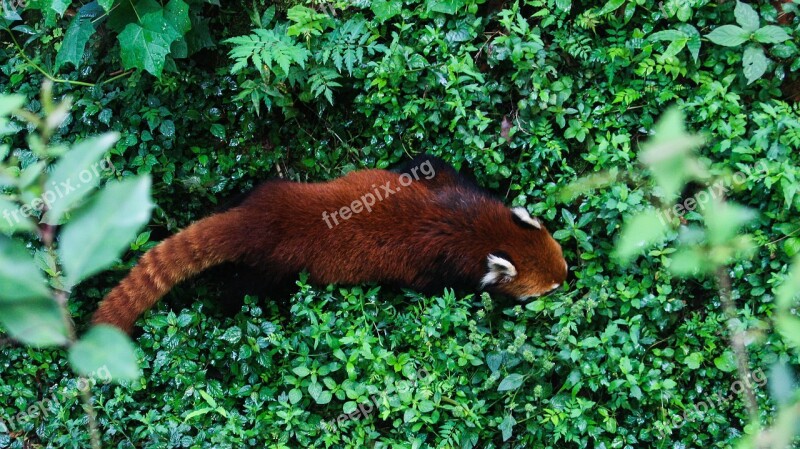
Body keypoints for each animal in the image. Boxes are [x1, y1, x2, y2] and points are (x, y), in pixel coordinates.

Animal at [94, 156, 568, 330]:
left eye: (562, 259)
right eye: (546, 290)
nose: (569, 277)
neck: (478, 229)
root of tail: (258, 222)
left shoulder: (447, 187)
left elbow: (422, 163)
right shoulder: (439, 266)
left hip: (272, 190)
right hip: (275, 268)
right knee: (245, 289)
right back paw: (222, 305)